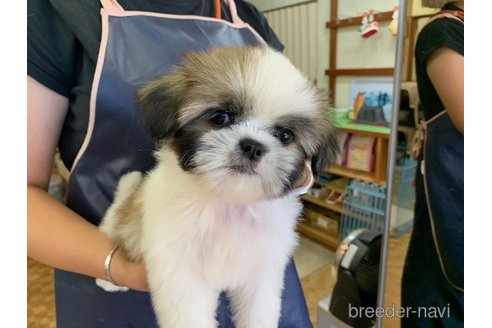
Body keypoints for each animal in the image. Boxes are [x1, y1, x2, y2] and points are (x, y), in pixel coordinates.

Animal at [98, 46, 340, 328]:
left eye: (285, 135)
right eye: (221, 117)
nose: (253, 146)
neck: (228, 201)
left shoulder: (260, 272)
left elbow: (259, 311)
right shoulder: (180, 272)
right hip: (119, 218)